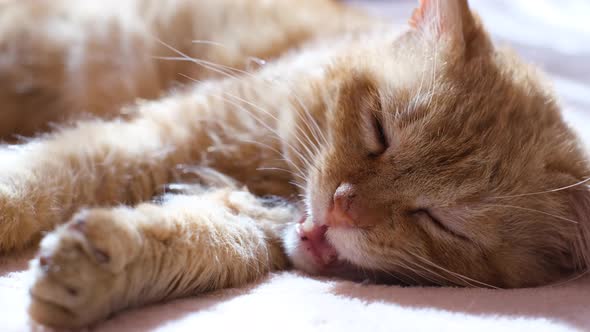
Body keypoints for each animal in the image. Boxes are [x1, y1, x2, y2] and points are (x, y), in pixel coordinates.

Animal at [0, 0, 588, 328]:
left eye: (442, 222)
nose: (345, 205)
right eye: (379, 131)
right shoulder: (168, 134)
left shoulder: (244, 217)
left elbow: (198, 241)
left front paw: (93, 273)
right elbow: (56, 170)